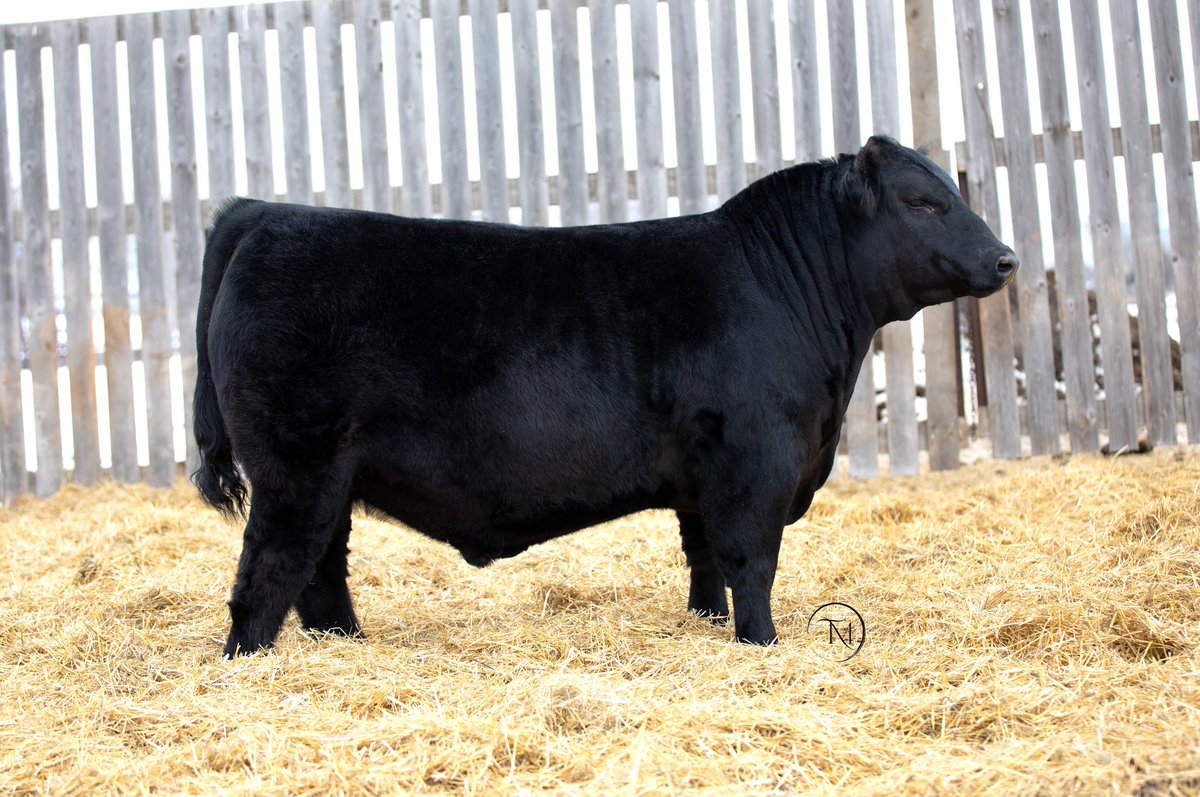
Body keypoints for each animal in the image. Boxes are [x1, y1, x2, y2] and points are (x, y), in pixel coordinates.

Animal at [193, 135, 1017, 657]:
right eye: (922, 202)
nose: (1007, 258)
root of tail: (264, 213)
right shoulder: (757, 460)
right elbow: (751, 560)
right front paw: (763, 644)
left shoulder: (702, 475)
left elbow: (705, 560)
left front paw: (707, 626)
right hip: (296, 467)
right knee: (267, 575)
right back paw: (252, 663)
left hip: (331, 476)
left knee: (321, 571)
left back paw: (348, 645)